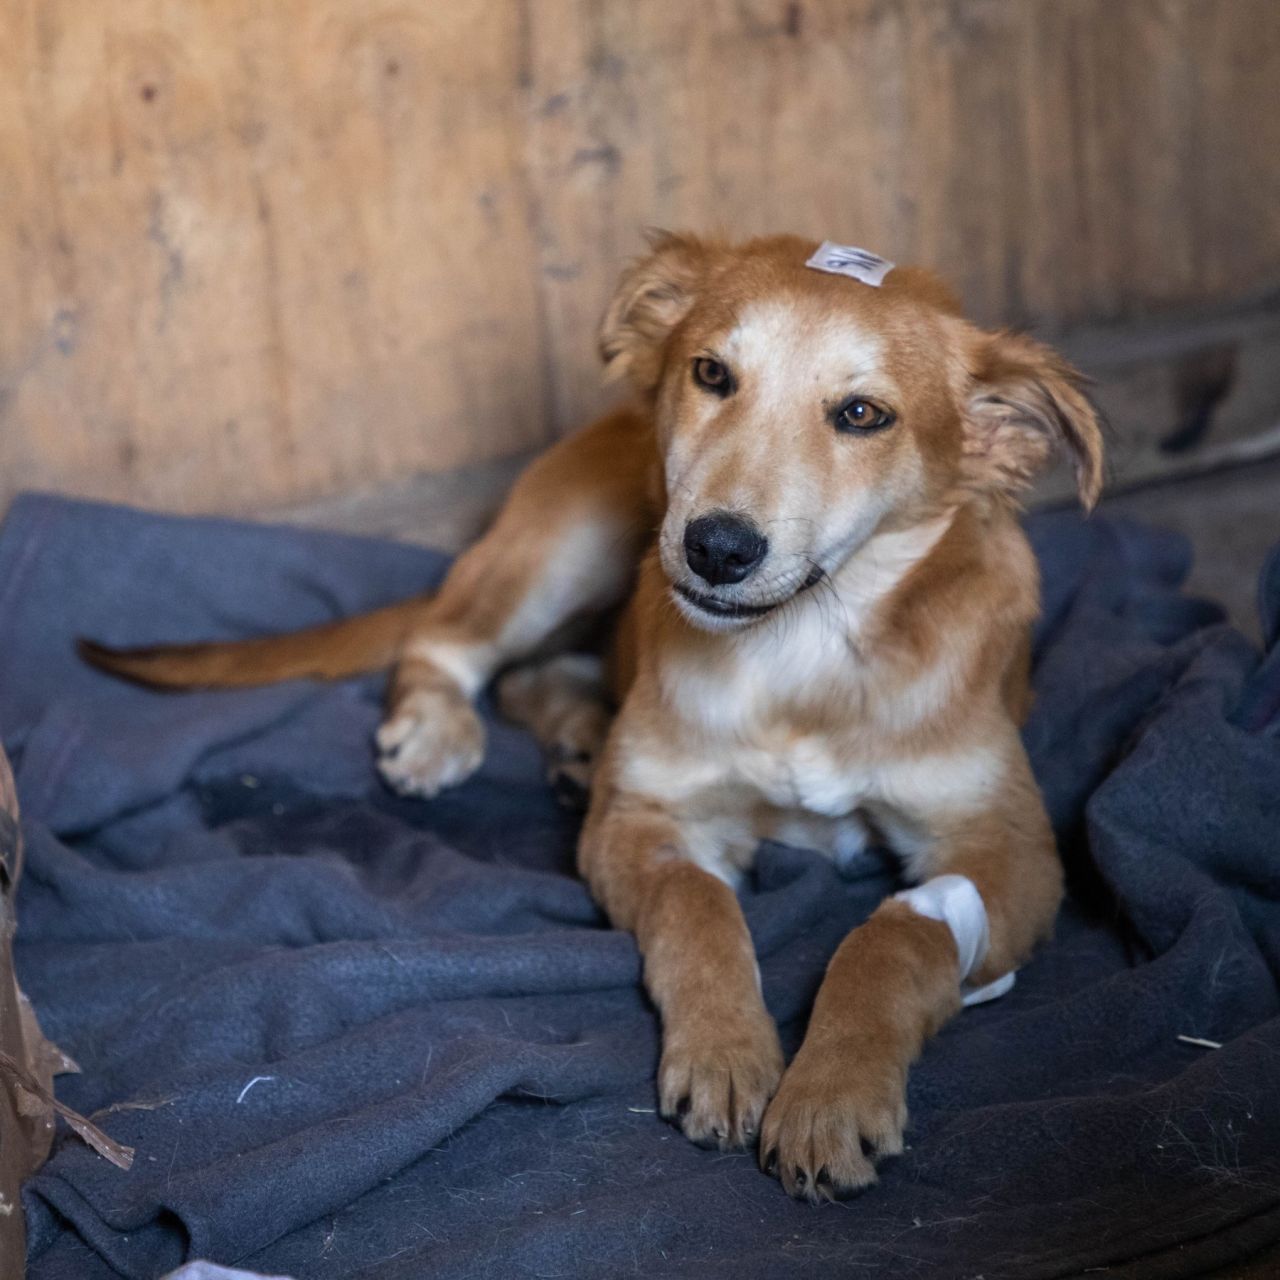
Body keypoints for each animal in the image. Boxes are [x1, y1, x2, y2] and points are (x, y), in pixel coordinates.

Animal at [82, 235, 1100, 1203]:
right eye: (712, 373)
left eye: (862, 415)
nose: (716, 547)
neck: (802, 652)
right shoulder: (642, 819)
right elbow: (698, 905)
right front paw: (727, 1052)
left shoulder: (1011, 849)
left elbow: (897, 936)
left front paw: (831, 1093)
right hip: (563, 549)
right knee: (451, 643)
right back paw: (445, 732)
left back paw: (576, 740)